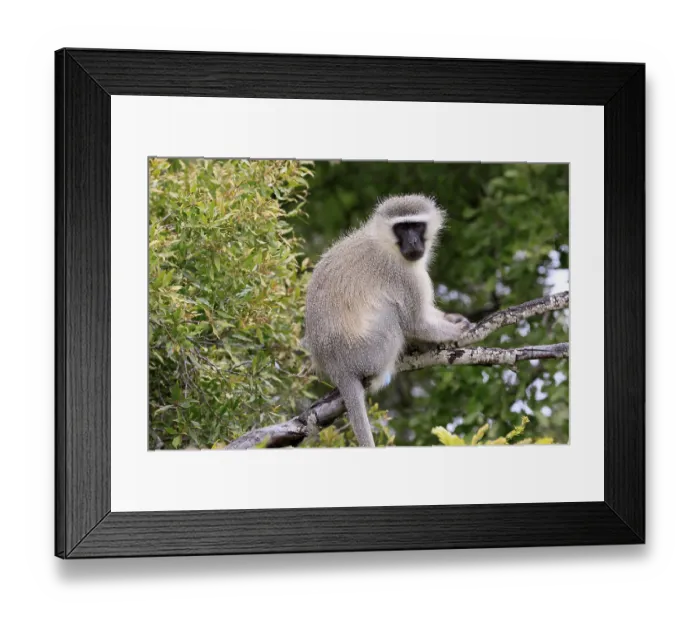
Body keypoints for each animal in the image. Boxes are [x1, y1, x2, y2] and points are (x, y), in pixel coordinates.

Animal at [303, 194, 471, 448]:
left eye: (416, 226)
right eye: (402, 228)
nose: (413, 242)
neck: (387, 244)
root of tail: (337, 366)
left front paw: (452, 318)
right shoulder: (403, 276)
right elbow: (416, 323)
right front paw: (455, 330)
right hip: (368, 352)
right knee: (392, 314)